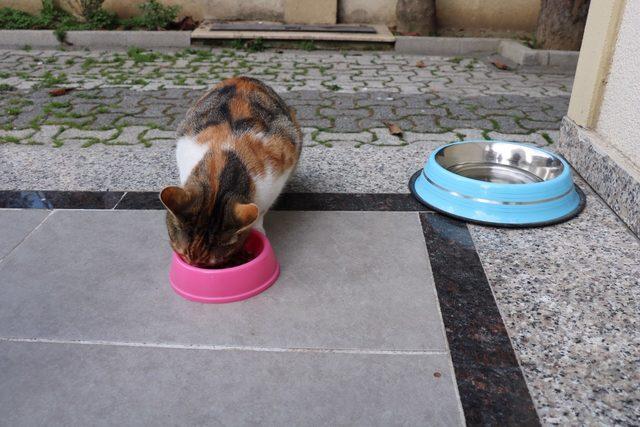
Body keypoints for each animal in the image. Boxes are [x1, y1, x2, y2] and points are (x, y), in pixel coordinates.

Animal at [159, 77, 302, 268]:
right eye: (184, 254)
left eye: (213, 263)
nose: (193, 265)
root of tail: (243, 78)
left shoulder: (276, 177)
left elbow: (261, 211)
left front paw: (258, 228)